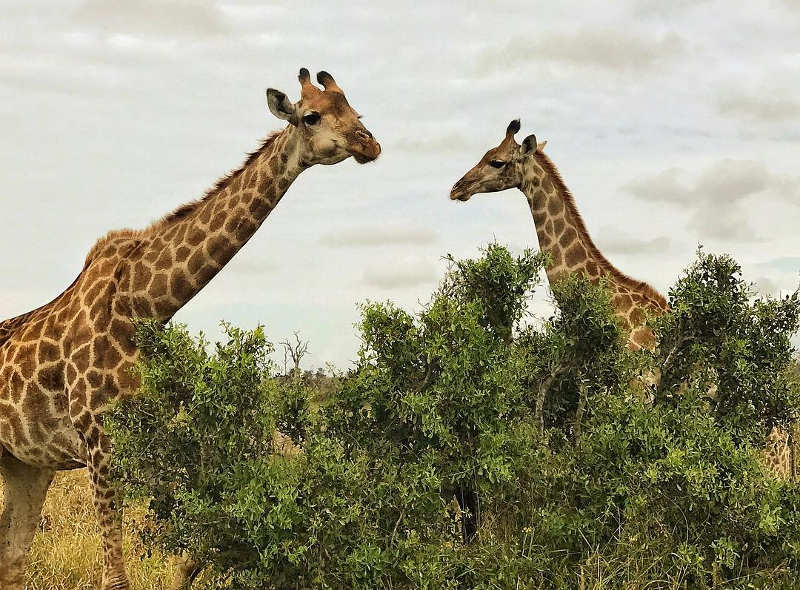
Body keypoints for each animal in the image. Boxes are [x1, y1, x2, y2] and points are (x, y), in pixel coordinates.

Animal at [0, 67, 382, 588]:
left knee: (12, 558)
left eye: (356, 111)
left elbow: (195, 550)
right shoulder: (98, 441)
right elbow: (116, 575)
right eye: (311, 116)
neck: (142, 305)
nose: (370, 143)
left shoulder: (150, 440)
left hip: (25, 463)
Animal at [450, 119, 792, 480]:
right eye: (487, 154)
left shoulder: (637, 392)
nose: (457, 188)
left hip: (762, 467)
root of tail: (786, 440)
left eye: (496, 161)